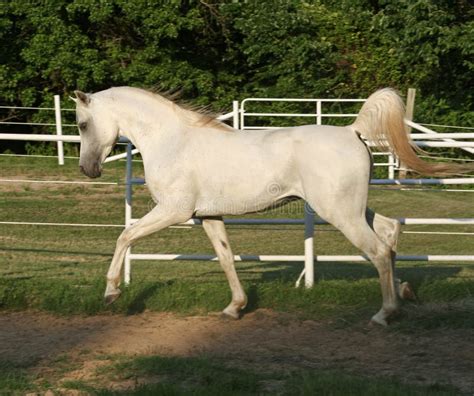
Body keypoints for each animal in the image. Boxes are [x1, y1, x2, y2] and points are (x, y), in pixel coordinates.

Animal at [72, 88, 468, 326]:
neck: (173, 141)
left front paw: (111, 293)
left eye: (82, 123)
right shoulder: (208, 216)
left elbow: (125, 235)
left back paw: (384, 314)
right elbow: (226, 258)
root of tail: (352, 131)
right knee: (388, 232)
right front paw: (235, 307)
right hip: (352, 209)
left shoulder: (174, 211)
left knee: (379, 251)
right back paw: (403, 294)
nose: (87, 169)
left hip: (339, 213)